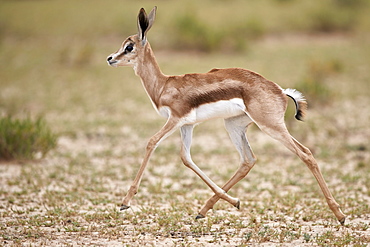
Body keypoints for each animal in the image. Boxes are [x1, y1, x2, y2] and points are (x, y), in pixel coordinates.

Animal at [105, 7, 346, 224]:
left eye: (129, 46)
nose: (110, 58)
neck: (164, 85)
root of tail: (280, 90)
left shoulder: (174, 120)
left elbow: (151, 142)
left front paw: (125, 202)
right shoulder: (187, 125)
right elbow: (186, 158)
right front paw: (235, 201)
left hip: (270, 126)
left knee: (306, 153)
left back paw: (340, 215)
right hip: (233, 125)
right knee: (248, 160)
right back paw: (205, 209)